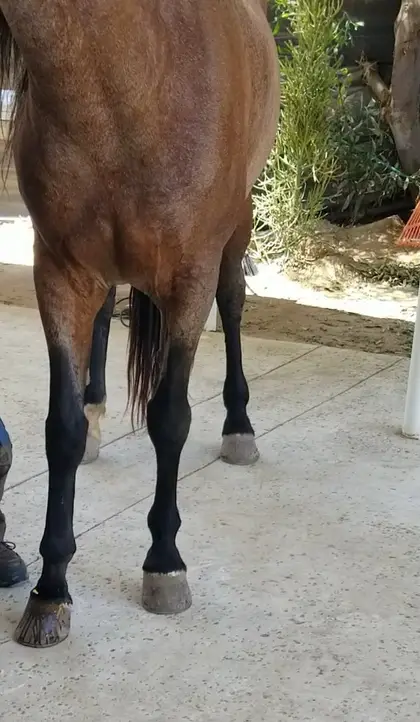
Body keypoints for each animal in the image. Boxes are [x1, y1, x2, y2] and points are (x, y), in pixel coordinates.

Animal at [0, 0, 280, 648]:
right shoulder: (60, 270)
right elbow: (61, 429)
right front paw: (50, 591)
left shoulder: (190, 277)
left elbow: (170, 419)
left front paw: (165, 563)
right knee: (106, 314)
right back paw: (98, 412)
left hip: (239, 222)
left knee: (233, 303)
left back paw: (239, 427)